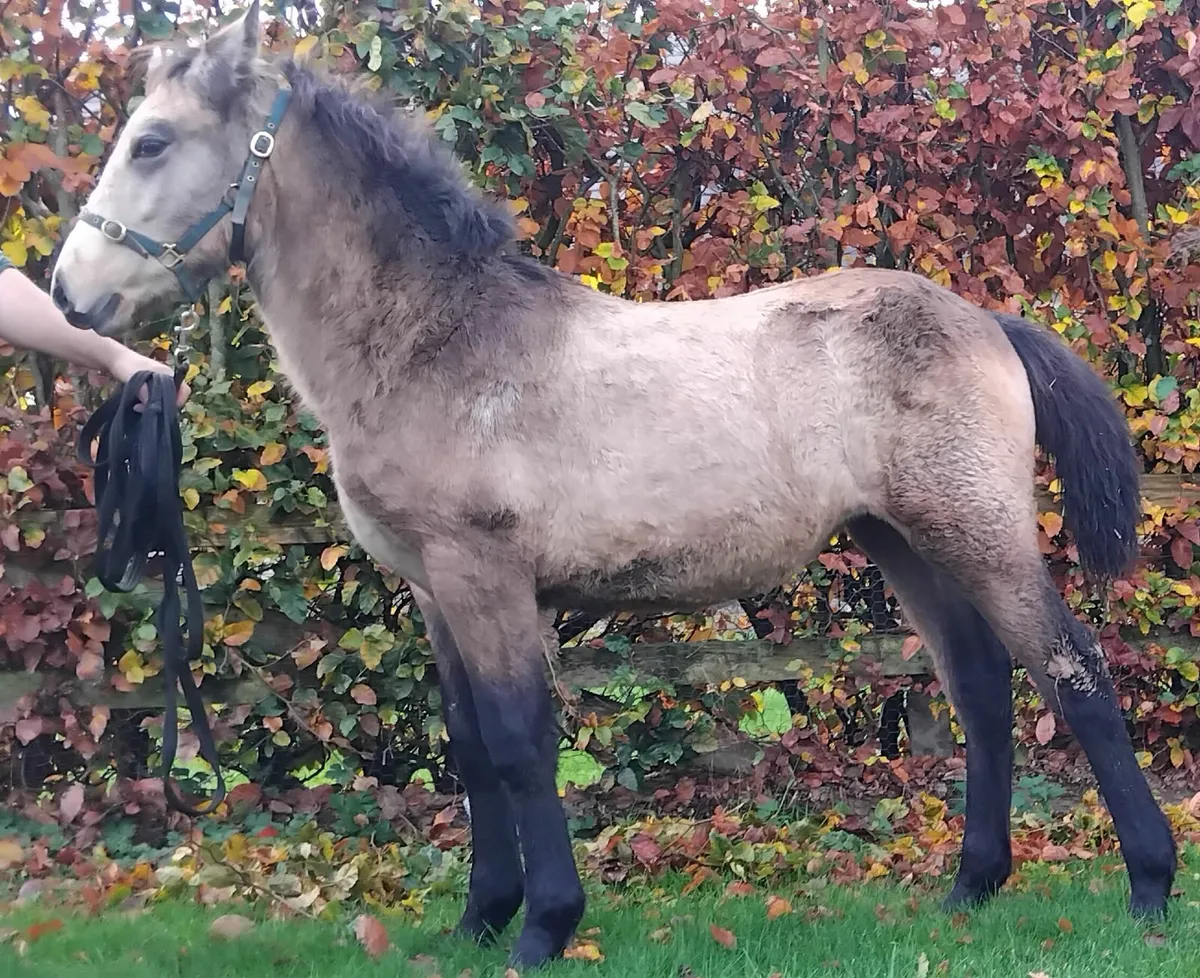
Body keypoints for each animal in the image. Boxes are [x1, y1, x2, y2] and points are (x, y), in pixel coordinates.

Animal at [50, 2, 1176, 965]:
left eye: (152, 143)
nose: (69, 293)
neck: (433, 341)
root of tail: (986, 320)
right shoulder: (434, 591)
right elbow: (469, 748)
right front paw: (478, 919)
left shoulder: (487, 578)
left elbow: (517, 743)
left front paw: (542, 927)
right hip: (901, 541)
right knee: (981, 688)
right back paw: (970, 889)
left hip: (975, 532)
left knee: (1074, 672)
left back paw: (1149, 889)